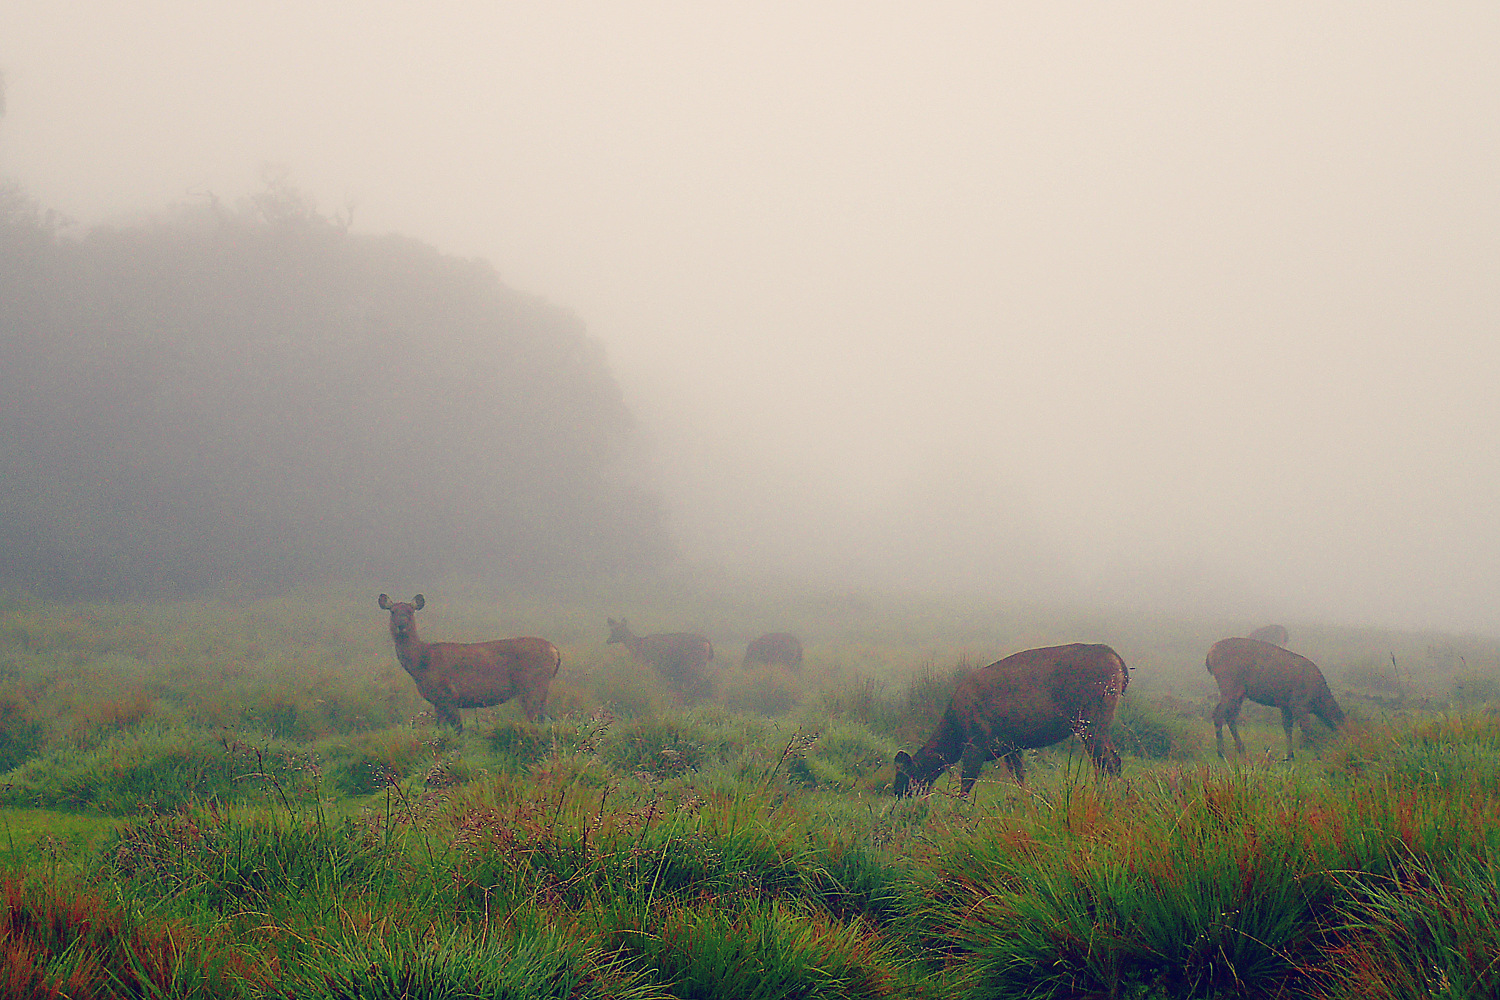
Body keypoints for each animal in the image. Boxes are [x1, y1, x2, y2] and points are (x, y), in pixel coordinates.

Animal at [378, 593, 561, 734]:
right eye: (392, 611)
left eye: (410, 611)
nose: (401, 625)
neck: (420, 664)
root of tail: (555, 651)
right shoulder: (437, 702)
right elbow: (441, 729)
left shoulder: (448, 695)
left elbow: (458, 729)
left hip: (532, 686)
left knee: (540, 719)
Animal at [888, 641, 1128, 797]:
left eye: (904, 776)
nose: (898, 793)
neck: (954, 734)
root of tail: (1117, 660)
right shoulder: (1011, 747)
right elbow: (1020, 781)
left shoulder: (976, 744)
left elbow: (965, 787)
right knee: (1112, 761)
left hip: (1092, 718)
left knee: (1106, 761)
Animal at [1206, 641, 1350, 758]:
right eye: (1347, 733)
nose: (1346, 747)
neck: (1319, 700)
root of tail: (1210, 654)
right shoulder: (1299, 703)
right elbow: (1307, 729)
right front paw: (1316, 753)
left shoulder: (1285, 705)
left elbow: (1287, 728)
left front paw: (1290, 755)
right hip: (1230, 685)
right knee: (1218, 714)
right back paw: (1221, 752)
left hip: (1239, 693)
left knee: (1230, 716)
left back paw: (1241, 749)